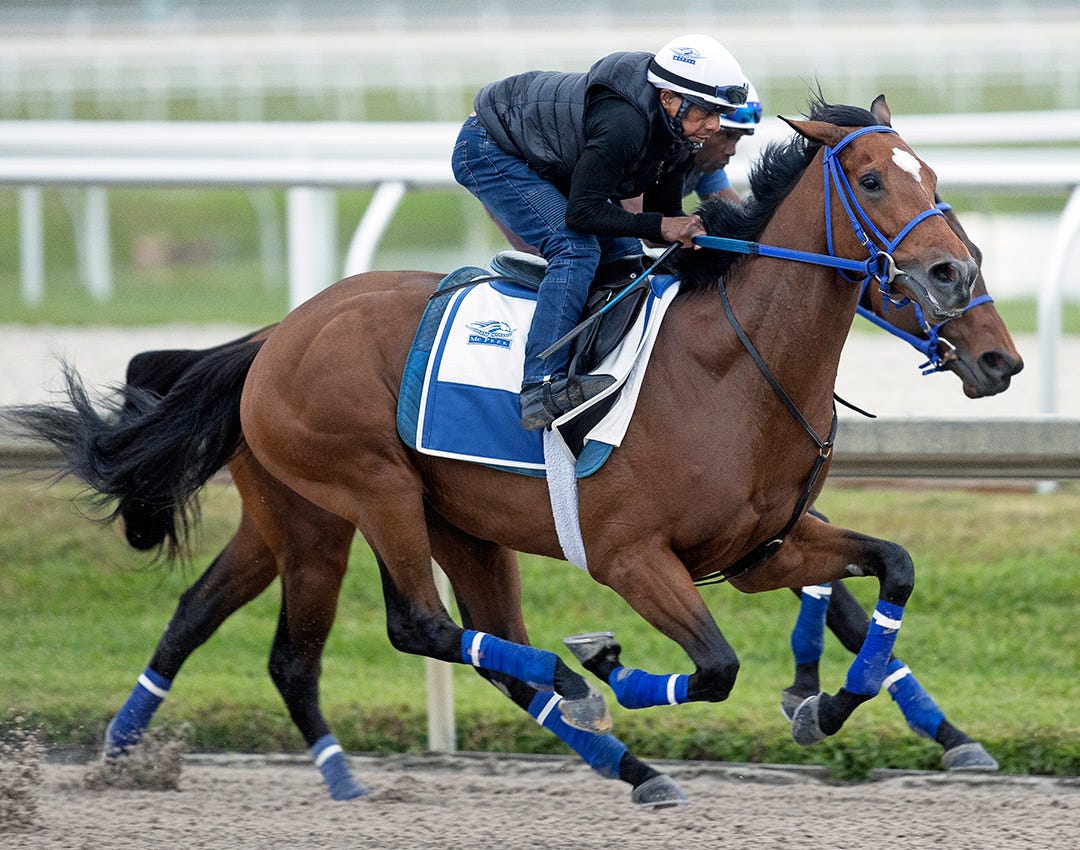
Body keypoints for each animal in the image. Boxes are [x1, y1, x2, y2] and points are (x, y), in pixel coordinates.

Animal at [5, 96, 986, 807]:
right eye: (871, 179)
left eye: (931, 173)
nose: (958, 275)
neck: (732, 368)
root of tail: (275, 336)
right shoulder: (631, 556)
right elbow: (715, 668)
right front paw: (613, 666)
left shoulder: (760, 551)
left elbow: (891, 570)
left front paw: (832, 705)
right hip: (368, 490)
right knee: (420, 626)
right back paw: (576, 689)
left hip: (380, 519)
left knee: (256, 624)